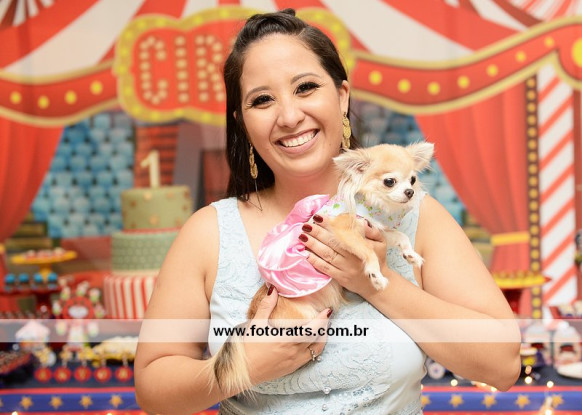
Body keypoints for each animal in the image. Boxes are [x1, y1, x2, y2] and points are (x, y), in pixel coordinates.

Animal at [209, 142, 434, 395]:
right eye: (390, 181)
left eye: (413, 180)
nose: (410, 192)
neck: (370, 205)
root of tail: (251, 320)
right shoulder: (344, 230)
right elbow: (367, 251)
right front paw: (375, 274)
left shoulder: (375, 228)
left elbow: (399, 236)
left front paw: (410, 254)